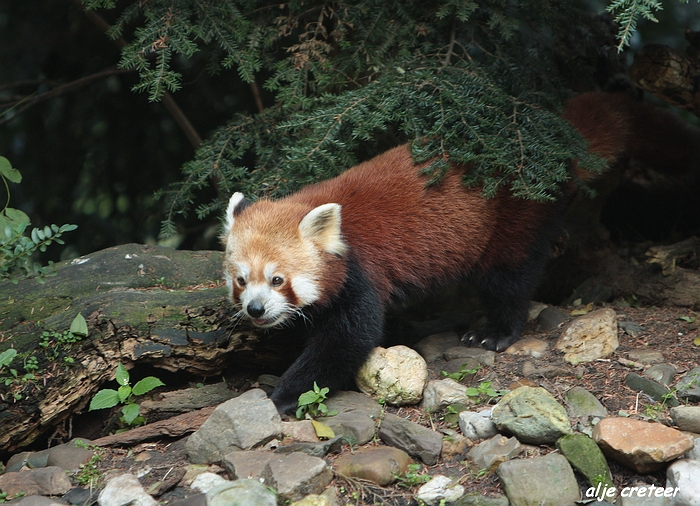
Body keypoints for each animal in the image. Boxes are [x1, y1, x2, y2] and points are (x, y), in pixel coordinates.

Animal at [220, 92, 700, 416]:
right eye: (241, 280)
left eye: (278, 279)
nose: (256, 310)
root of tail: (539, 142)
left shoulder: (361, 275)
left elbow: (346, 341)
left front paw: (280, 395)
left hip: (513, 218)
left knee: (509, 277)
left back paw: (494, 330)